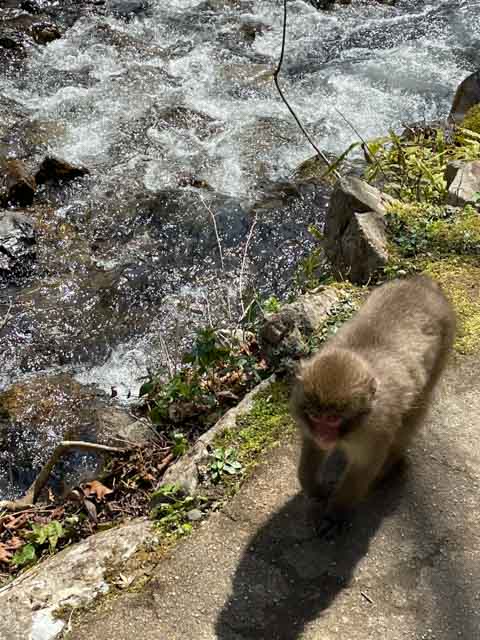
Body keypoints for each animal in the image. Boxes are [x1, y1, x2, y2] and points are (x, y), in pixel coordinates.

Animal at [290, 274, 456, 520]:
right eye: (315, 416)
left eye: (332, 419)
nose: (323, 435)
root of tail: (422, 283)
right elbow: (312, 447)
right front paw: (314, 488)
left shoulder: (376, 428)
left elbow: (364, 467)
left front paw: (337, 511)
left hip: (445, 343)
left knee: (412, 415)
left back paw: (389, 465)